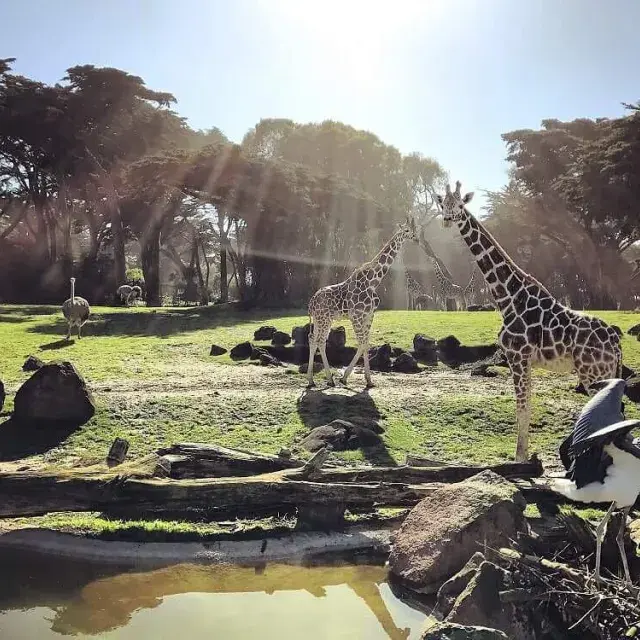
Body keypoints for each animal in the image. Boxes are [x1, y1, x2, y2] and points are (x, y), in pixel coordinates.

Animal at [306, 218, 422, 388]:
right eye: (406, 230)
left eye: (414, 228)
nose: (416, 238)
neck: (373, 281)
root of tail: (311, 302)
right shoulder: (356, 316)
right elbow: (362, 343)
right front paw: (348, 378)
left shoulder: (369, 315)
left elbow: (365, 343)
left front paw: (367, 380)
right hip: (323, 318)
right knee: (319, 341)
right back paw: (327, 379)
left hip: (322, 319)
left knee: (315, 340)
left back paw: (314, 380)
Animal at [438, 180, 624, 460]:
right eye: (443, 205)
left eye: (459, 205)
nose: (448, 220)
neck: (508, 296)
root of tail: (615, 341)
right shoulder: (525, 361)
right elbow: (526, 409)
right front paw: (524, 457)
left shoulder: (517, 356)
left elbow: (522, 410)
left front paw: (520, 459)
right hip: (606, 373)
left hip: (594, 374)